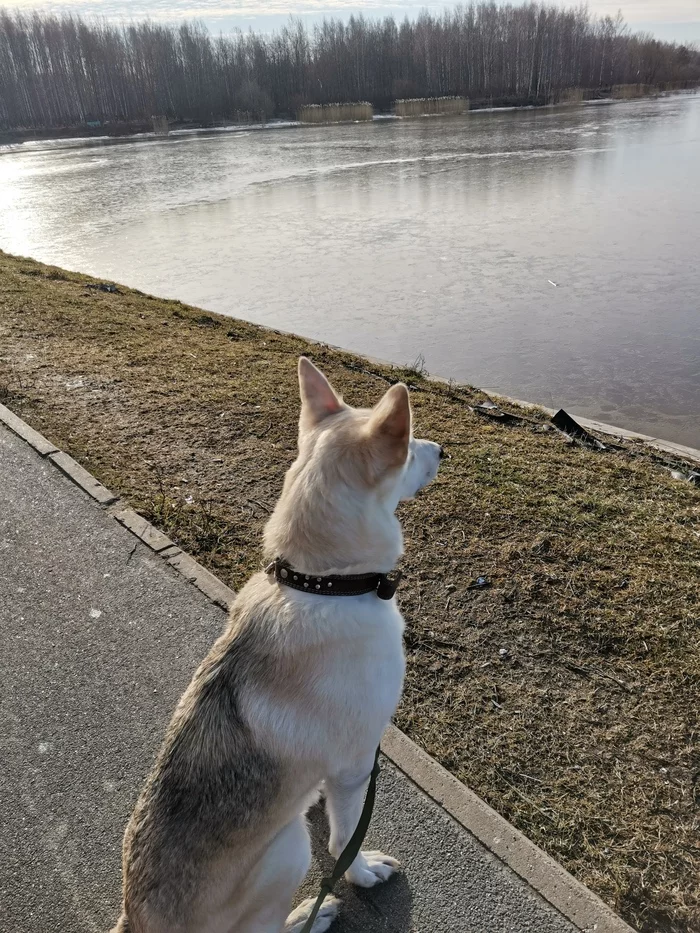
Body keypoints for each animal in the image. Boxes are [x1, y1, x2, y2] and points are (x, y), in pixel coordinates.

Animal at [113, 356, 442, 932]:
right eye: (410, 449)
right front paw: (361, 871)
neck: (319, 583)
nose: (442, 449)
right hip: (289, 850)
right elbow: (345, 840)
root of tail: (137, 919)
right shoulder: (357, 763)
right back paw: (311, 912)